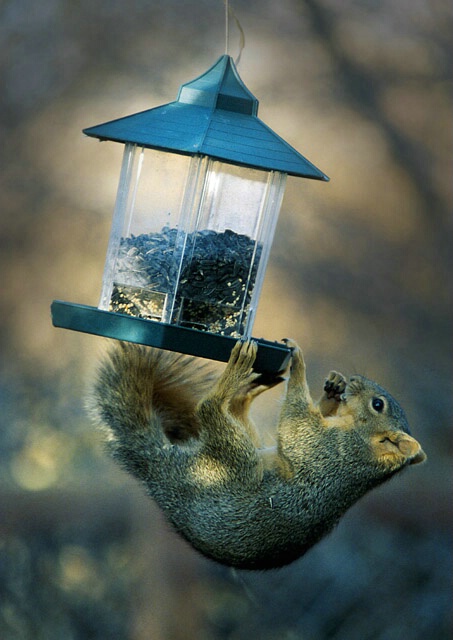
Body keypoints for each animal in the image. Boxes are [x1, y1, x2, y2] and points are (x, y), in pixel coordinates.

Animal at [90, 340, 426, 568]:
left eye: (377, 405)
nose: (354, 380)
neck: (360, 443)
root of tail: (160, 476)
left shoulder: (325, 449)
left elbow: (295, 424)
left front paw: (299, 361)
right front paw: (332, 389)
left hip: (235, 463)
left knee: (208, 410)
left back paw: (233, 377)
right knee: (234, 410)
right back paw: (250, 386)